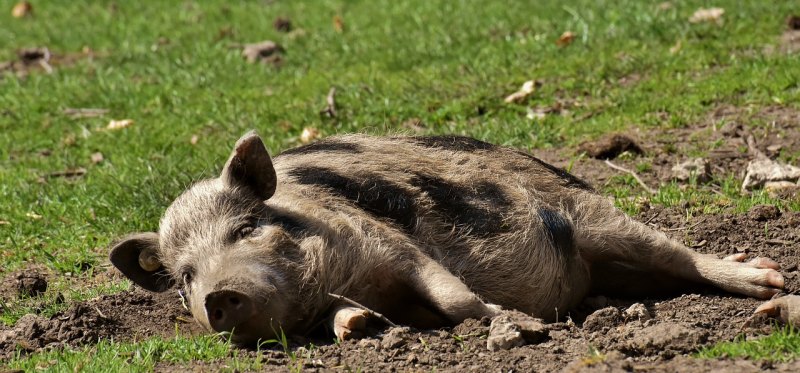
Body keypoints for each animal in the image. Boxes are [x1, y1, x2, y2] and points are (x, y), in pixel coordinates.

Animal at [109, 131, 784, 342]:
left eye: (247, 227)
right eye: (184, 279)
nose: (217, 295)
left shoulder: (390, 242)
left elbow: (453, 294)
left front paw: (509, 322)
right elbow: (344, 319)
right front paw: (360, 328)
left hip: (597, 216)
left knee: (683, 256)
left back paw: (766, 279)